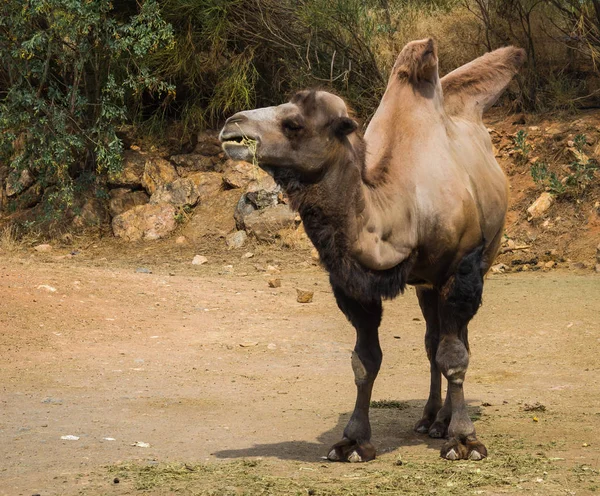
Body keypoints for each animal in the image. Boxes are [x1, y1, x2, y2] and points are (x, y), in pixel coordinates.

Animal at [220, 37, 524, 462]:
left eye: (294, 123)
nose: (231, 125)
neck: (401, 208)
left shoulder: (461, 269)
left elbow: (455, 355)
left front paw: (464, 440)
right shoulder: (352, 282)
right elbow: (365, 361)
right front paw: (353, 441)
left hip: (476, 263)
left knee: (455, 342)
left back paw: (446, 423)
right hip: (425, 284)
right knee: (431, 340)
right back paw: (431, 419)